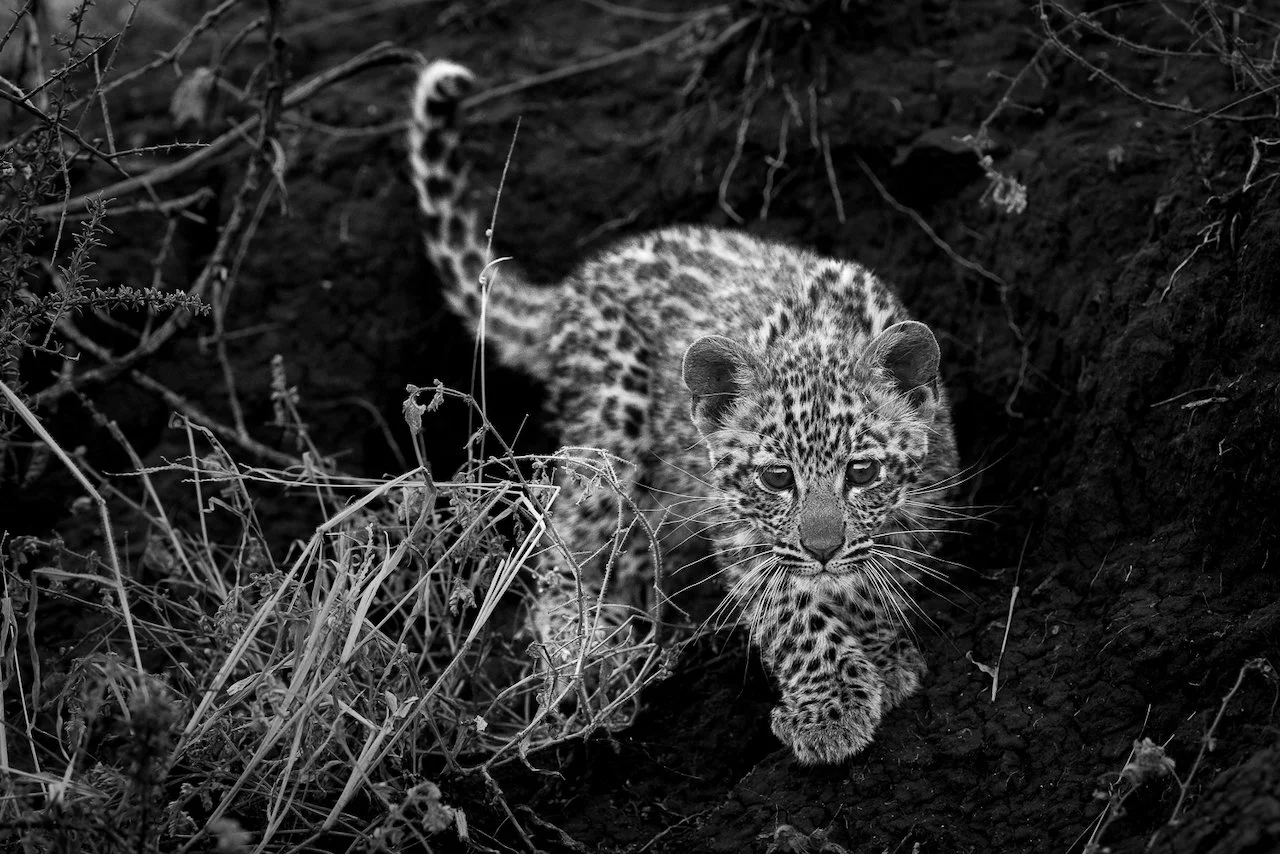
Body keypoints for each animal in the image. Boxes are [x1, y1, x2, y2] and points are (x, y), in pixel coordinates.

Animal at [406, 59, 959, 764]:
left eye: (862, 473)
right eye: (776, 478)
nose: (822, 549)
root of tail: (573, 288)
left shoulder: (920, 509)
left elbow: (873, 582)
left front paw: (883, 657)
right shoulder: (744, 530)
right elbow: (794, 613)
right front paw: (830, 707)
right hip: (610, 421)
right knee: (563, 545)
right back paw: (590, 654)